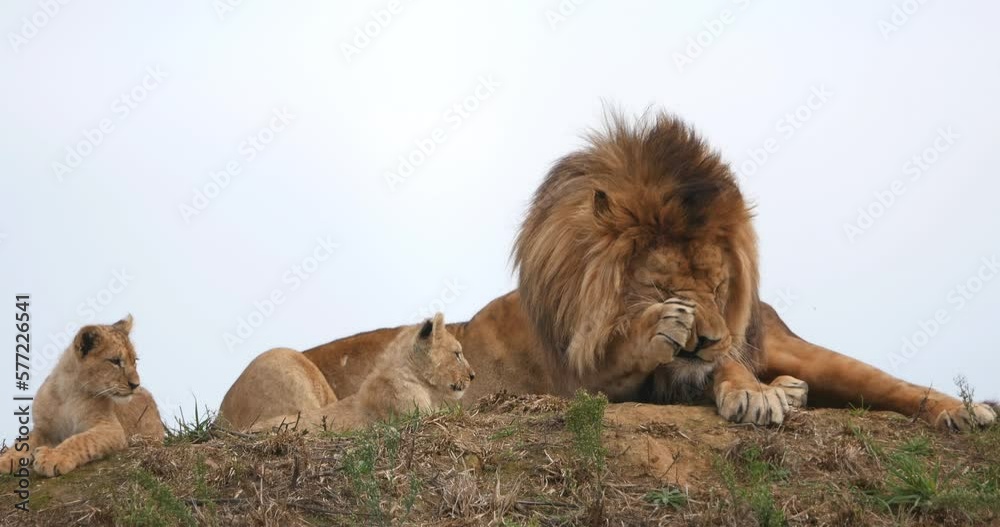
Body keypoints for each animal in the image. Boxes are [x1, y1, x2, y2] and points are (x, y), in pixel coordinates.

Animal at [0, 316, 165, 477]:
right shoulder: (43, 429)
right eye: (115, 361)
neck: (68, 393)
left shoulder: (112, 429)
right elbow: (24, 441)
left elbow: (81, 440)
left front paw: (52, 457)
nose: (135, 384)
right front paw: (6, 459)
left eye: (134, 361)